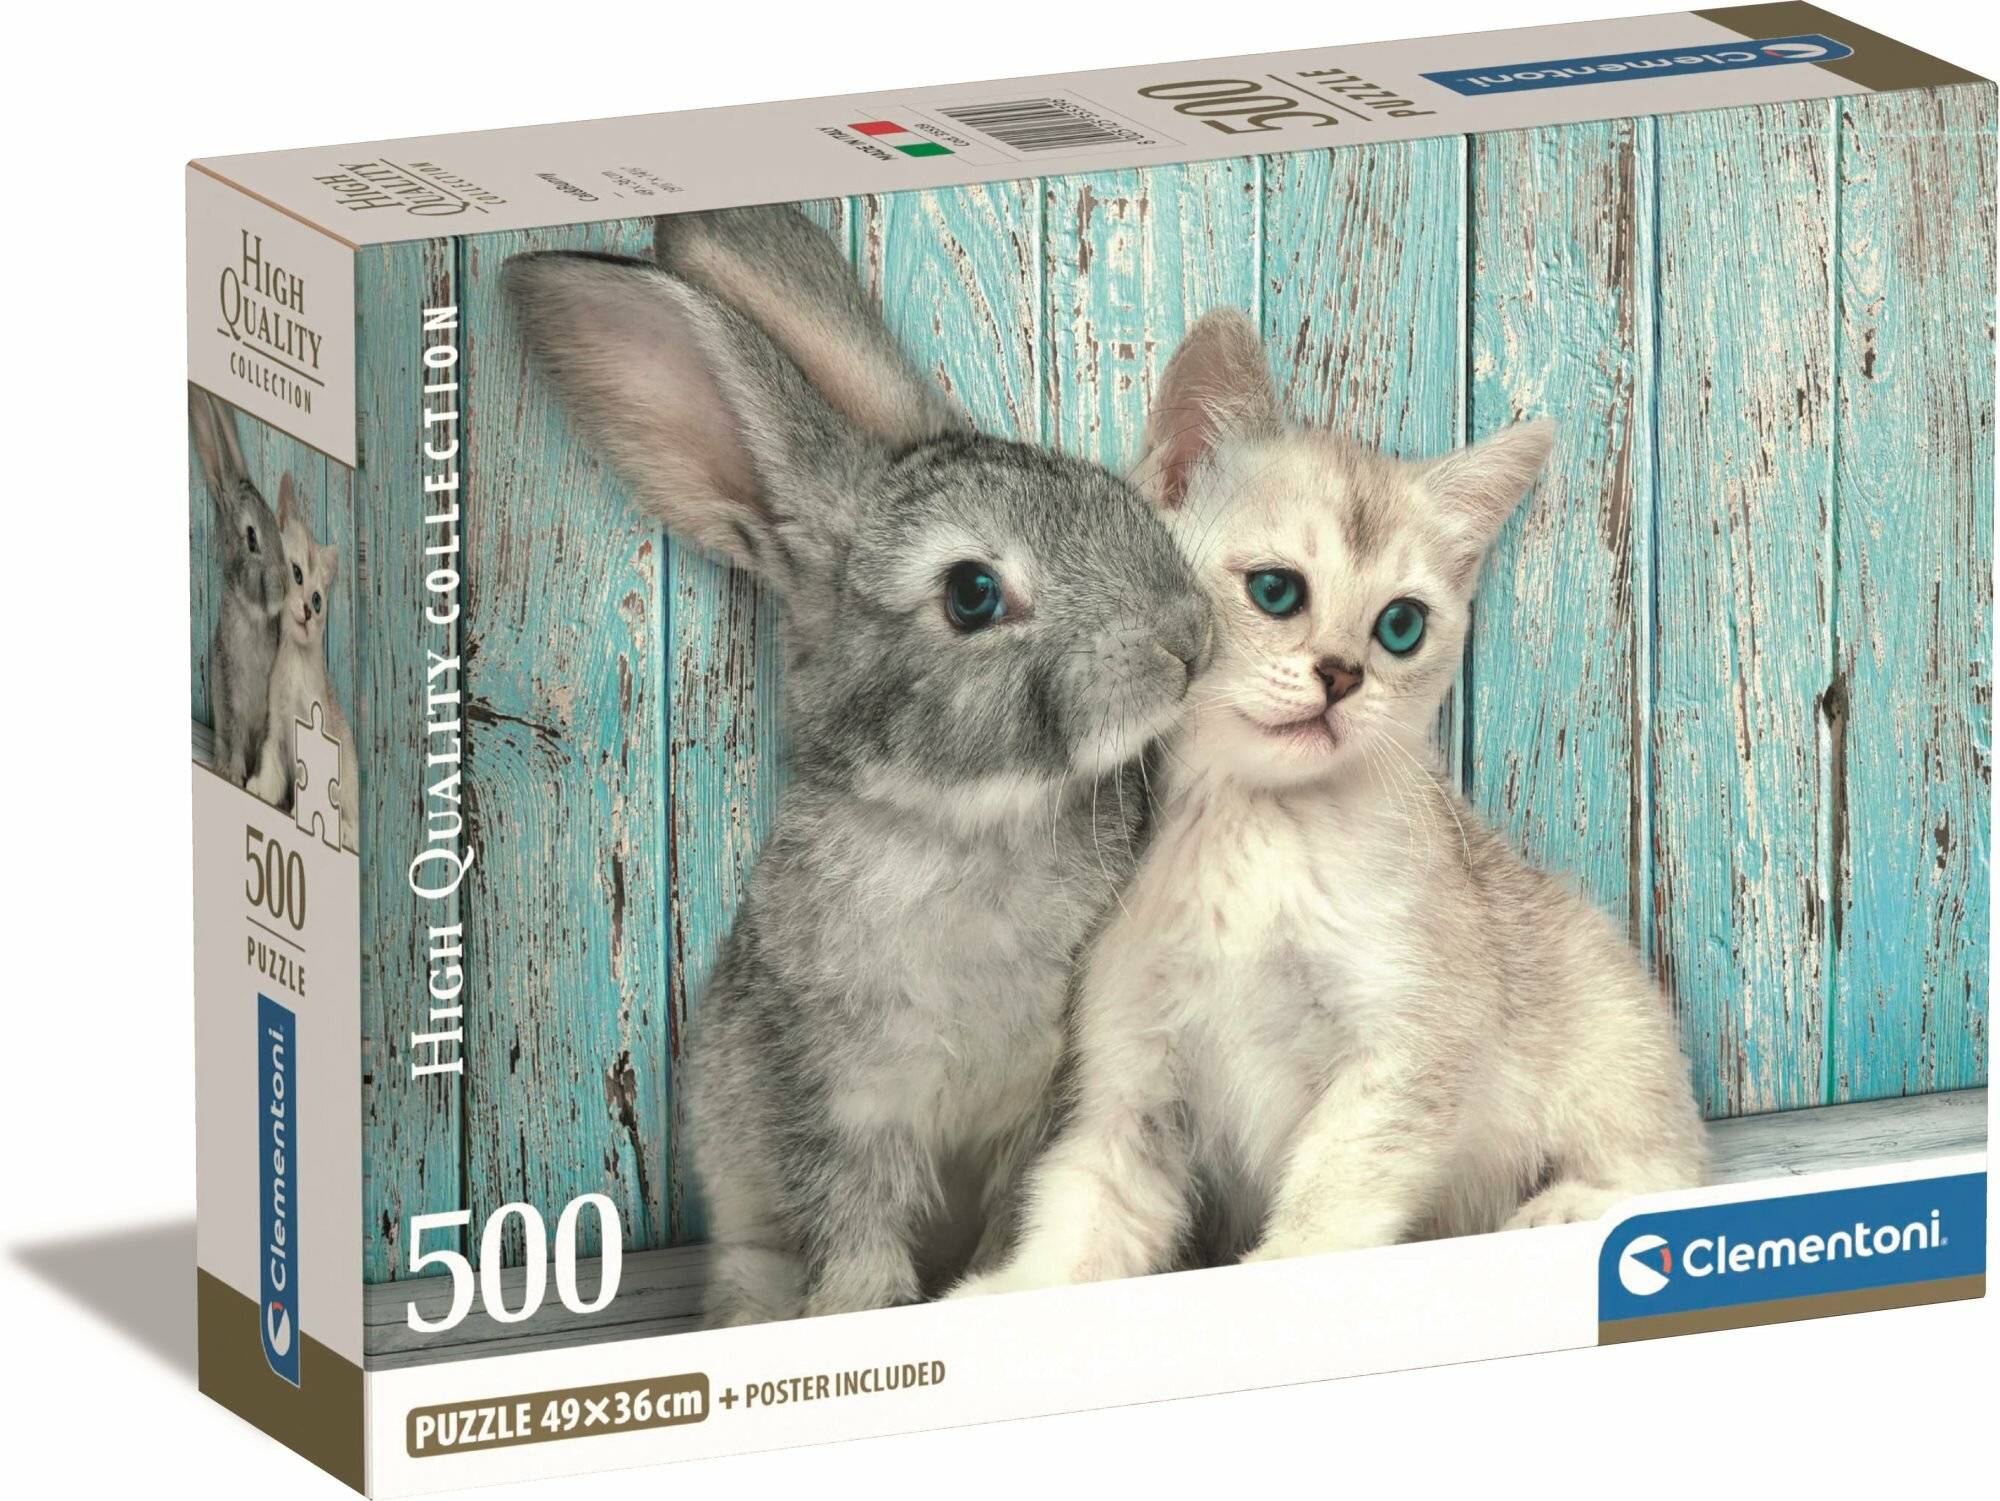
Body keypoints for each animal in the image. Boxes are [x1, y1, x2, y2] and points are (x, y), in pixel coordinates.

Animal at [506, 205, 1212, 1326]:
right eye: (971, 593)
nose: (1186, 638)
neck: (961, 823)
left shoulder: (1042, 1101)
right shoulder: (830, 1095)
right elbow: (853, 1220)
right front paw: (857, 1311)